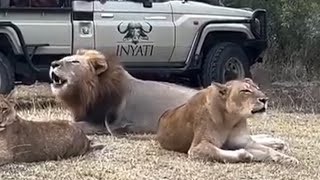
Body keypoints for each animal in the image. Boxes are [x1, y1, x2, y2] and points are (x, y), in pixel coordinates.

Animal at [49, 48, 284, 150]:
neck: (88, 91)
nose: (52, 63)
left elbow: (72, 123)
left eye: (74, 62)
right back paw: (277, 142)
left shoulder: (104, 124)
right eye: (64, 58)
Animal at [156, 78, 298, 164]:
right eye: (245, 90)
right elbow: (217, 152)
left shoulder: (243, 141)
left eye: (258, 88)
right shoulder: (197, 147)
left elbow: (267, 150)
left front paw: (288, 158)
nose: (265, 99)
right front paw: (245, 155)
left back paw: (277, 142)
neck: (232, 119)